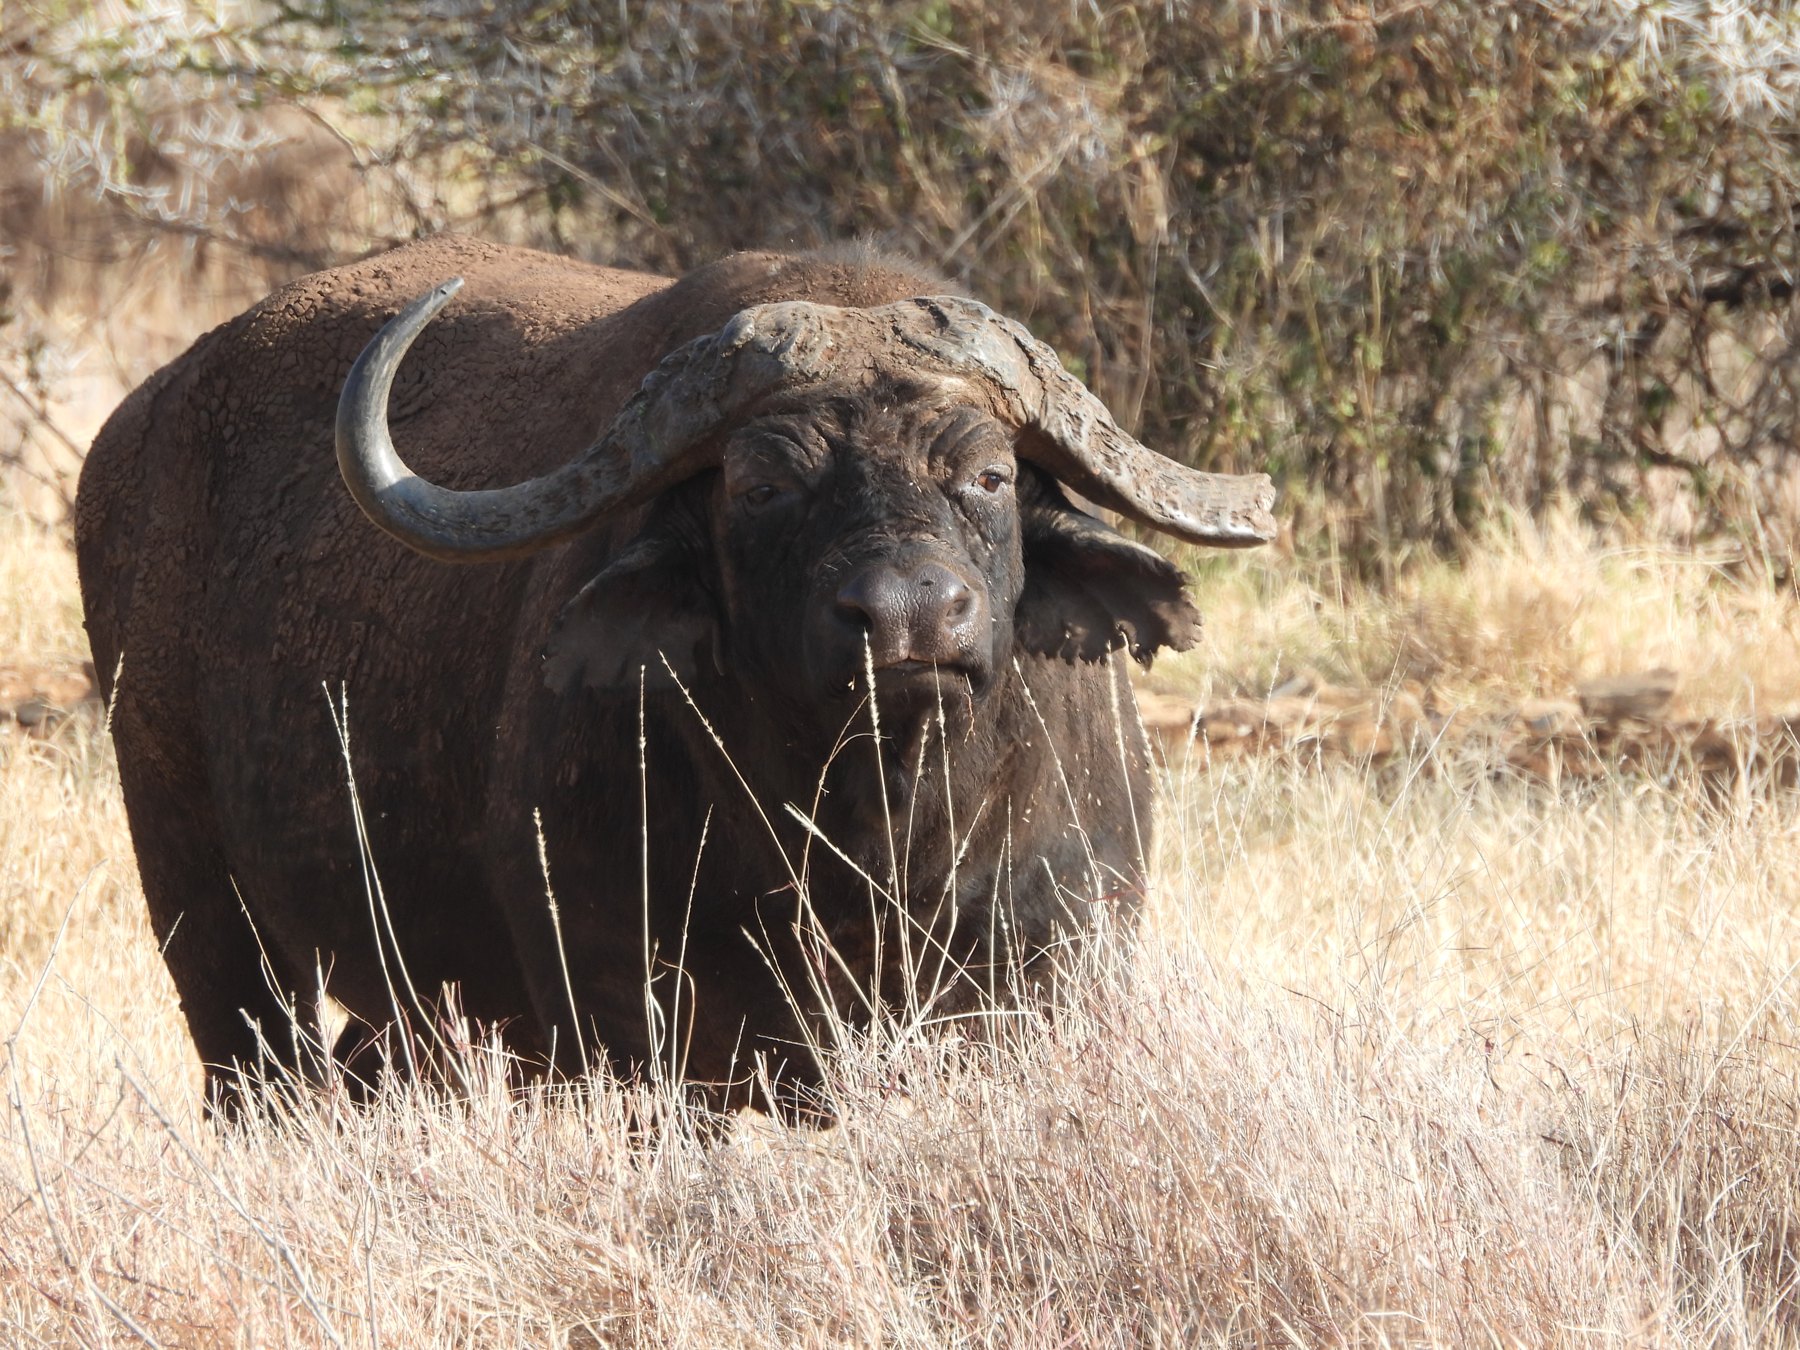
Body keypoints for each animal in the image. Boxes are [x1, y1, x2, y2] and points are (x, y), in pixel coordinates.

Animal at [76, 236, 1274, 1113]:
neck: (873, 845)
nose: (909, 617)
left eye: (986, 474)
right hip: (205, 916)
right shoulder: (632, 1027)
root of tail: (137, 428)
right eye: (760, 486)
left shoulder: (1045, 981)